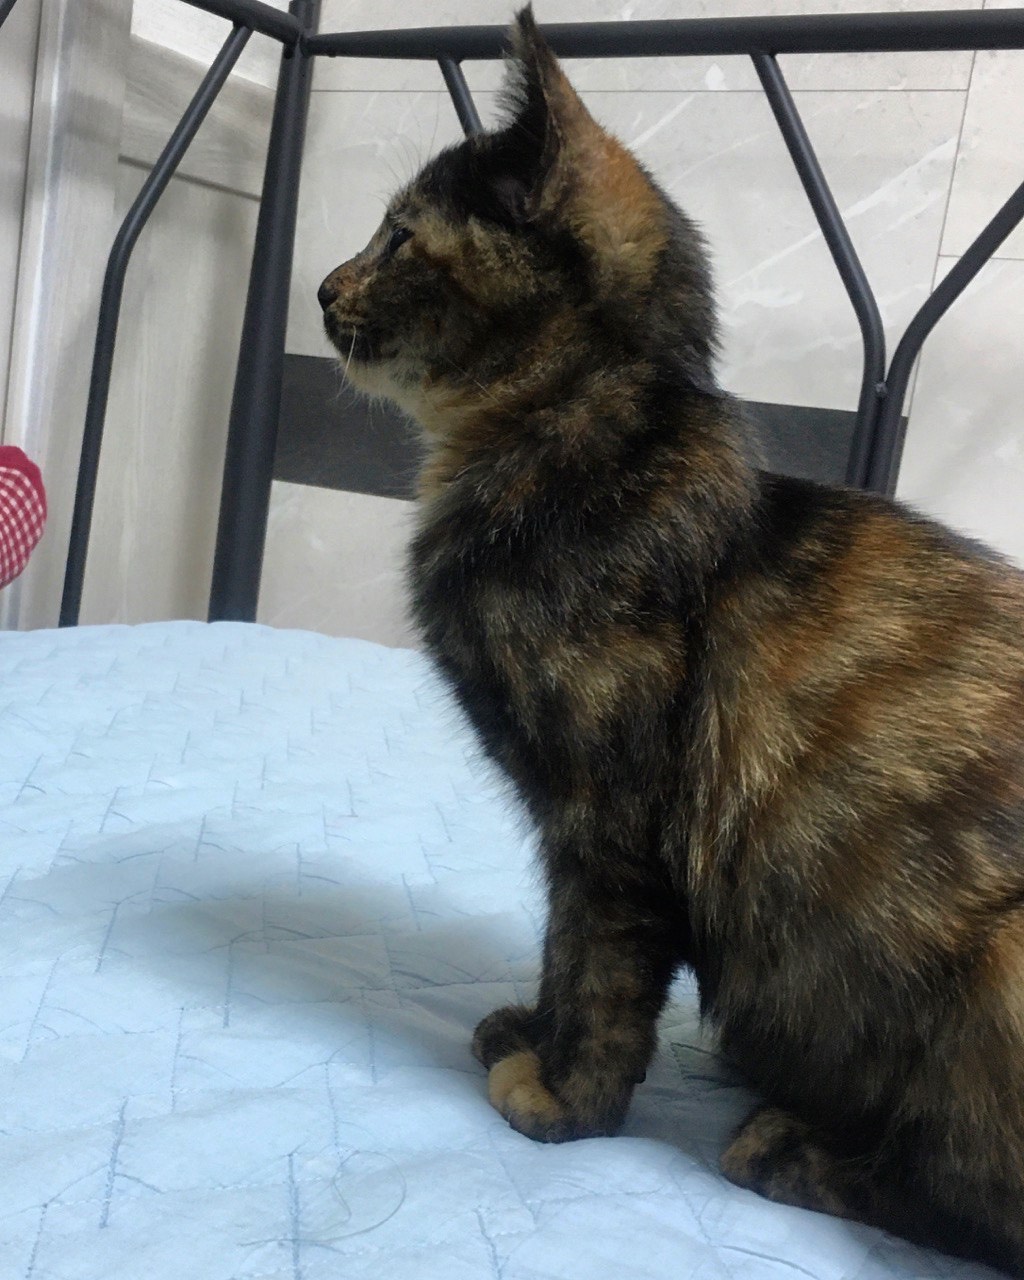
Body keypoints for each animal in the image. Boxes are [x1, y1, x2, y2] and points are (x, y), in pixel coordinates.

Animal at [318, 8, 1024, 1273]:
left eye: (398, 235)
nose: (318, 287)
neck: (567, 441)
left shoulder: (611, 813)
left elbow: (601, 961)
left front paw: (564, 1098)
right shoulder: (566, 823)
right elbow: (559, 947)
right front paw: (529, 1027)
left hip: (1006, 966)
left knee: (973, 1203)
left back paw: (786, 1147)